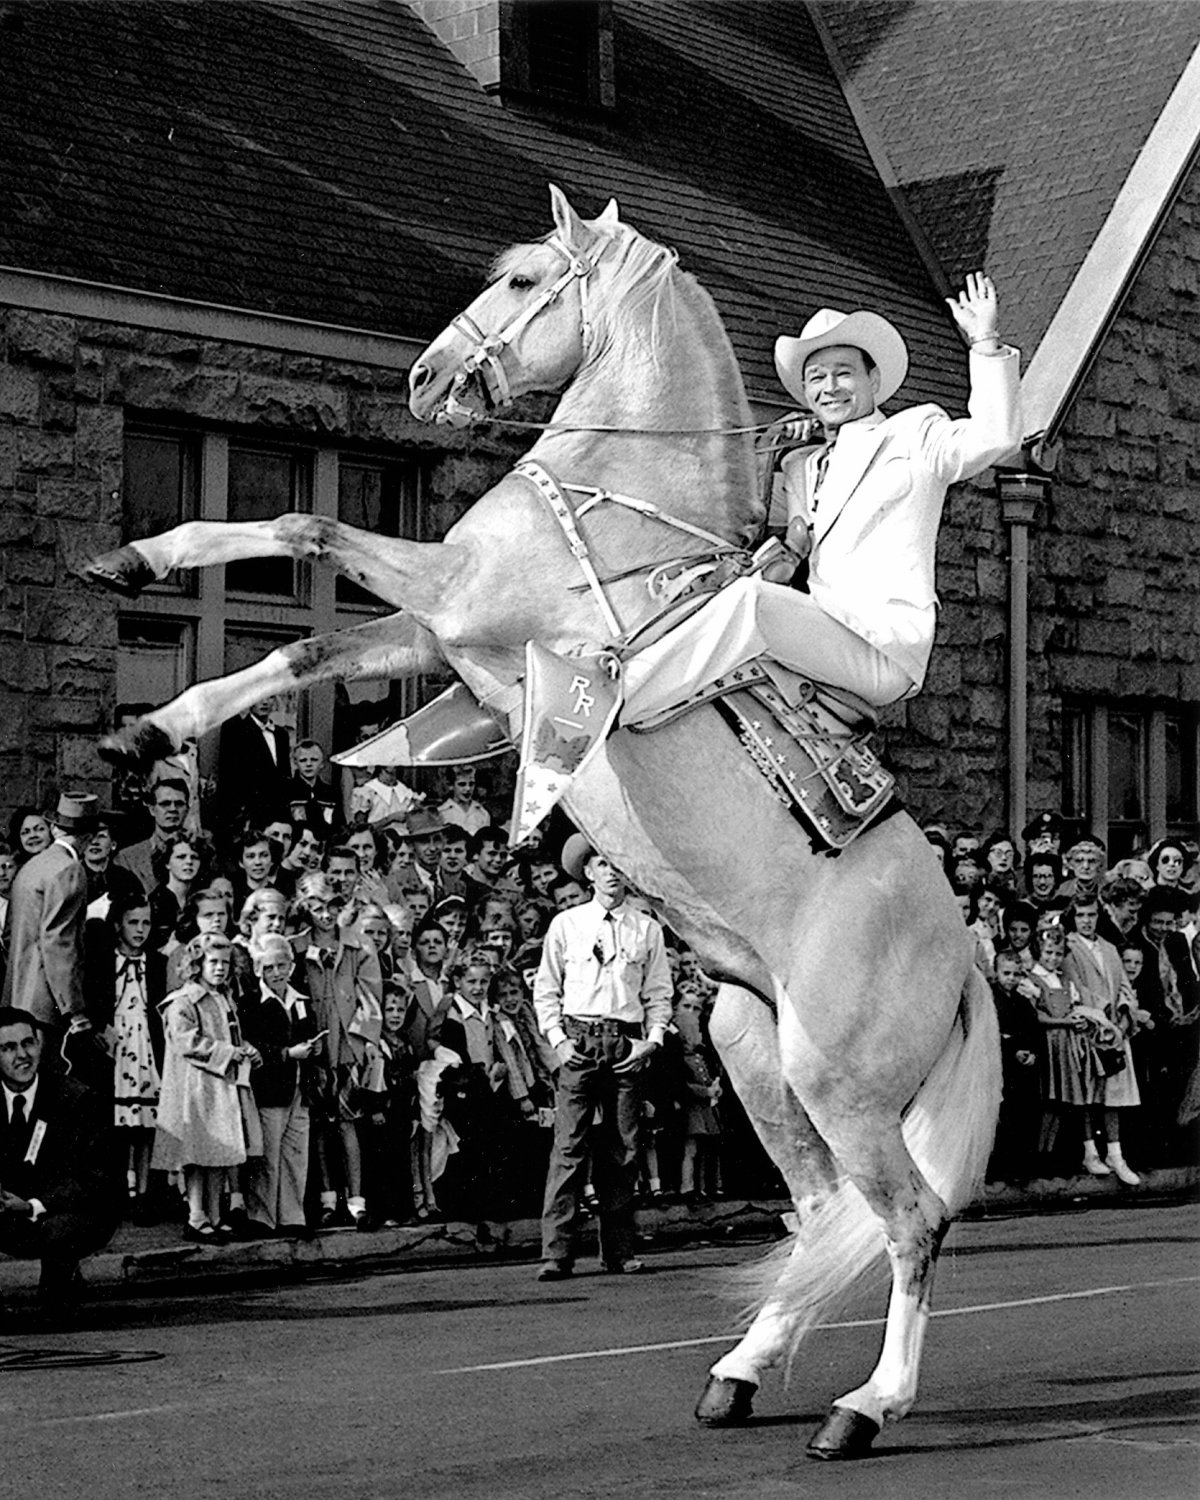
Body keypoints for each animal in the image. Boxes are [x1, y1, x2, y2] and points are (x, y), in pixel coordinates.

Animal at [89, 181, 996, 1458]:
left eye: (523, 279)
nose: (426, 379)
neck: (628, 509)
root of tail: (966, 958)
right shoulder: (442, 640)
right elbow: (299, 634)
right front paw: (141, 652)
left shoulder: (459, 603)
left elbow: (310, 533)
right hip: (756, 1049)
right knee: (825, 1212)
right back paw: (739, 1374)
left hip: (842, 1080)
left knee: (908, 1222)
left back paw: (863, 1408)